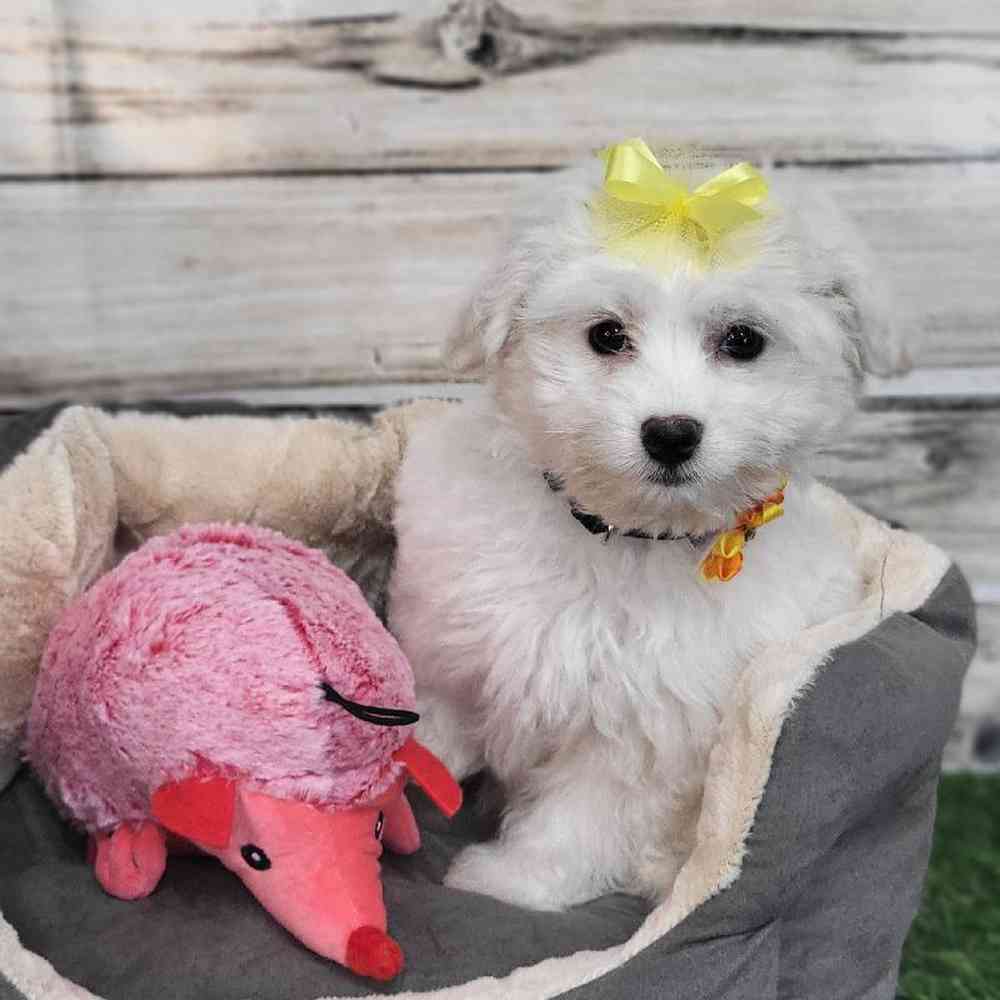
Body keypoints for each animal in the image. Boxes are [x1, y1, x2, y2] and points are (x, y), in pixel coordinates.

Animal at [386, 150, 912, 916]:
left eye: (743, 341)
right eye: (607, 335)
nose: (670, 433)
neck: (622, 536)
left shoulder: (647, 726)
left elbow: (583, 813)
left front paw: (514, 883)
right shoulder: (455, 630)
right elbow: (433, 708)